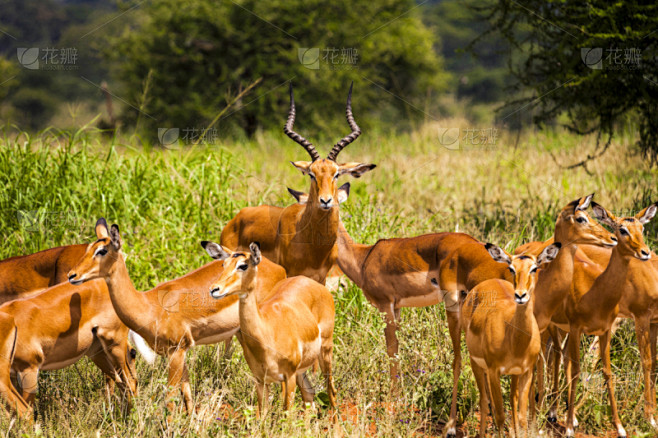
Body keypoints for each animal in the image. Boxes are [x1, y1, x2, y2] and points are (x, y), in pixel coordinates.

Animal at [67, 218, 287, 412]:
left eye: (102, 250)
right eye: (88, 248)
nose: (72, 275)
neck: (149, 306)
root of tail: (278, 268)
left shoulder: (176, 352)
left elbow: (171, 400)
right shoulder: (178, 352)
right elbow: (187, 395)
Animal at [202, 241, 336, 414]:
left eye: (243, 265)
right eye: (223, 264)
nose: (214, 289)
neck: (267, 333)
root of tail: (317, 286)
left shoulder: (288, 376)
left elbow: (287, 414)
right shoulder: (261, 380)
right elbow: (262, 415)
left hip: (325, 351)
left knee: (331, 392)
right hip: (301, 371)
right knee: (309, 394)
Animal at [462, 242, 561, 437]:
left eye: (534, 268)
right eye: (511, 268)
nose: (520, 295)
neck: (513, 340)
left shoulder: (526, 371)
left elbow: (522, 417)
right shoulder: (494, 371)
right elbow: (500, 416)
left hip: (510, 373)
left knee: (509, 400)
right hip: (476, 363)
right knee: (484, 401)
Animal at [559, 201, 658, 438]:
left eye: (642, 228)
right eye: (622, 229)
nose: (644, 252)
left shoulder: (654, 322)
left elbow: (653, 363)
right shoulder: (641, 317)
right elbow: (647, 362)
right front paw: (650, 419)